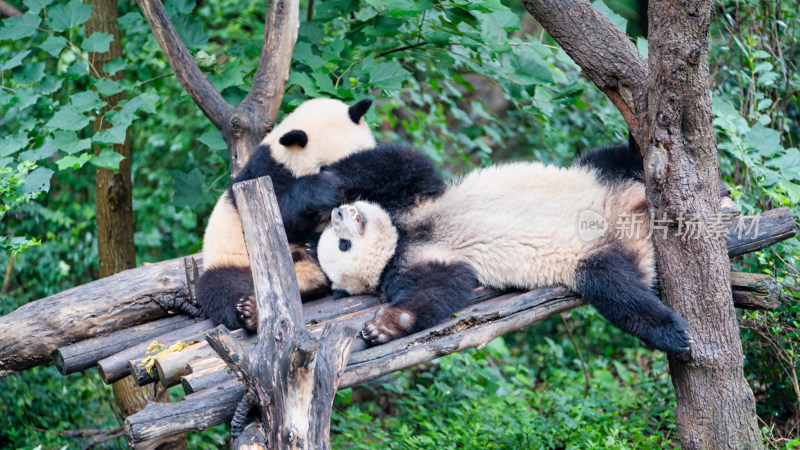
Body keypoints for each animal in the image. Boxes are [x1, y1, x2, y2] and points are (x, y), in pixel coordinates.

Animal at [194, 97, 444, 330]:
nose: (346, 200)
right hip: (234, 261)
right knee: (222, 287)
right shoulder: (263, 173)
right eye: (323, 167)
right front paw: (322, 190)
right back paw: (250, 311)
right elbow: (279, 217)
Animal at [318, 146, 692, 356]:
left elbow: (404, 163)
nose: (340, 214)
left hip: (601, 176)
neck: (404, 237)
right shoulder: (422, 262)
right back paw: (672, 332)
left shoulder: (415, 200)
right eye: (342, 244)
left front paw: (322, 179)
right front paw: (383, 328)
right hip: (599, 255)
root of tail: (632, 219)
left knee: (617, 156)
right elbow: (441, 288)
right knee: (616, 288)